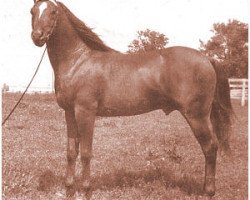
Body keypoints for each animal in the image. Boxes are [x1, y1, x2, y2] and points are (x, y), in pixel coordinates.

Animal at [30, 0, 232, 196]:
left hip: (197, 116)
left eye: (53, 12)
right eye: (32, 11)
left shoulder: (85, 112)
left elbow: (86, 153)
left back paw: (208, 192)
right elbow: (71, 152)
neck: (78, 62)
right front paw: (69, 189)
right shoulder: (70, 113)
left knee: (210, 147)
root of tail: (207, 58)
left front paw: (85, 190)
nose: (37, 36)